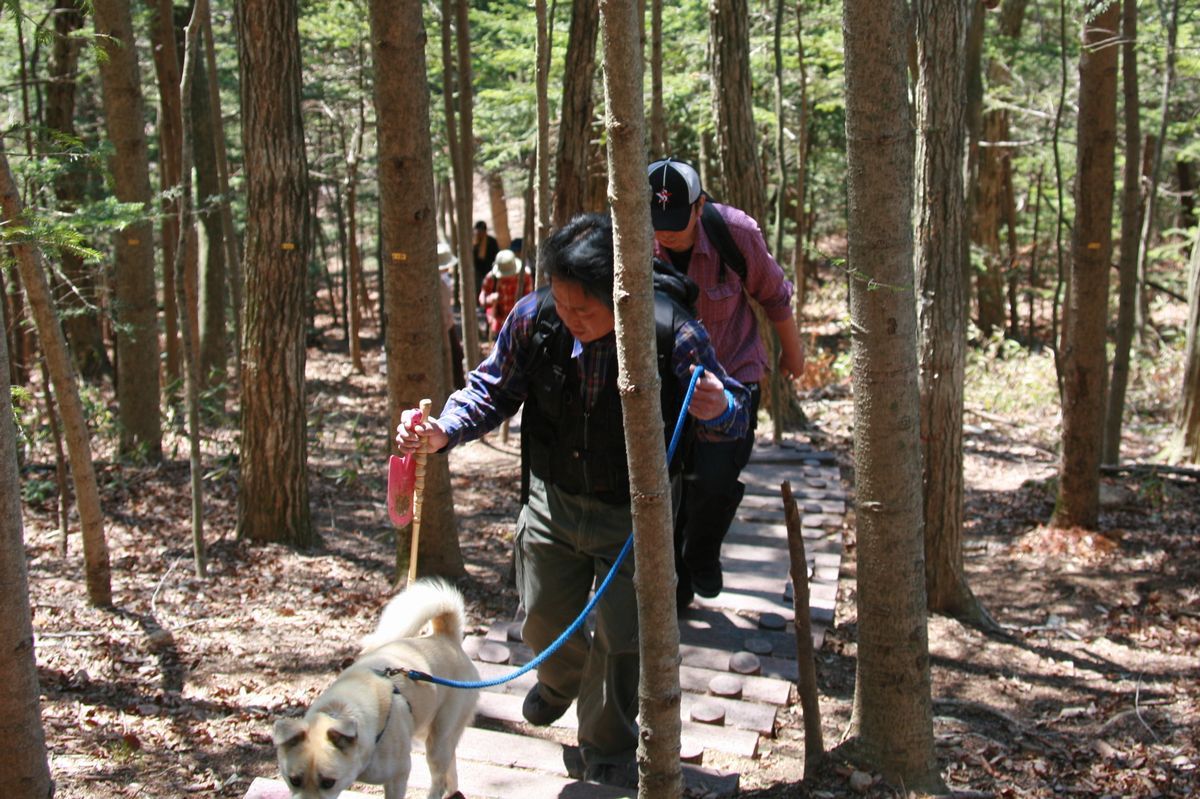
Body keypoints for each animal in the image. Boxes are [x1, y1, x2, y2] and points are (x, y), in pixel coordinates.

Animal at [272, 575, 477, 791]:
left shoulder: (399, 775)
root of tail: (446, 638)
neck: (340, 711)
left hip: (438, 739)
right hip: (427, 731)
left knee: (439, 779)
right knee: (451, 768)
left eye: (328, 782)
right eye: (294, 780)